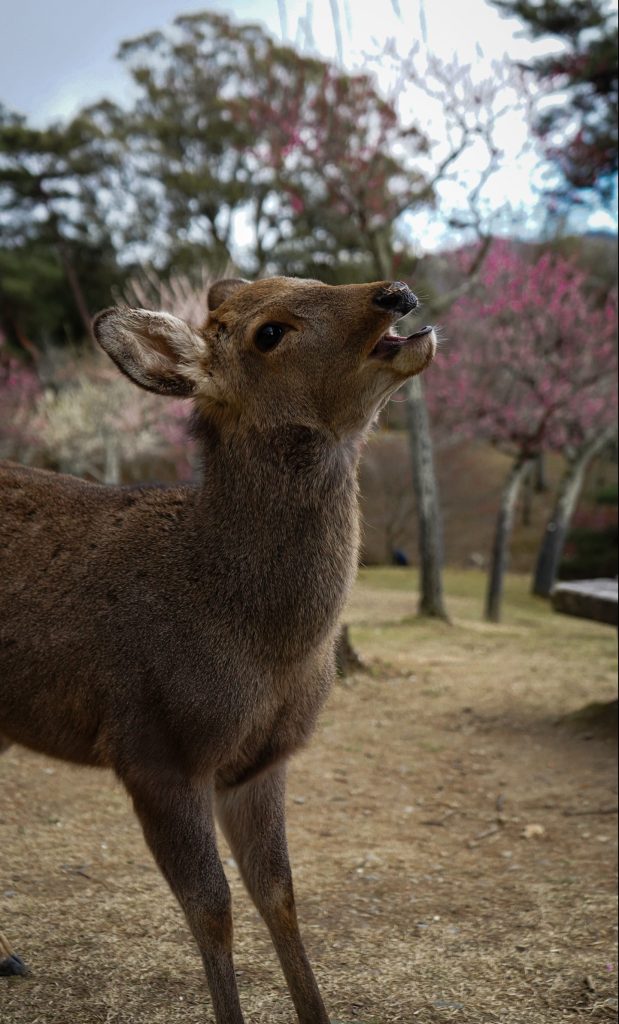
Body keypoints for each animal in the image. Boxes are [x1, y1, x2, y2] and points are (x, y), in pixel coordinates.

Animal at [0, 275, 436, 1023]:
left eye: (307, 279)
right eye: (269, 332)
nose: (395, 291)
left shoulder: (262, 761)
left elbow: (280, 896)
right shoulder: (154, 750)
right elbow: (212, 908)